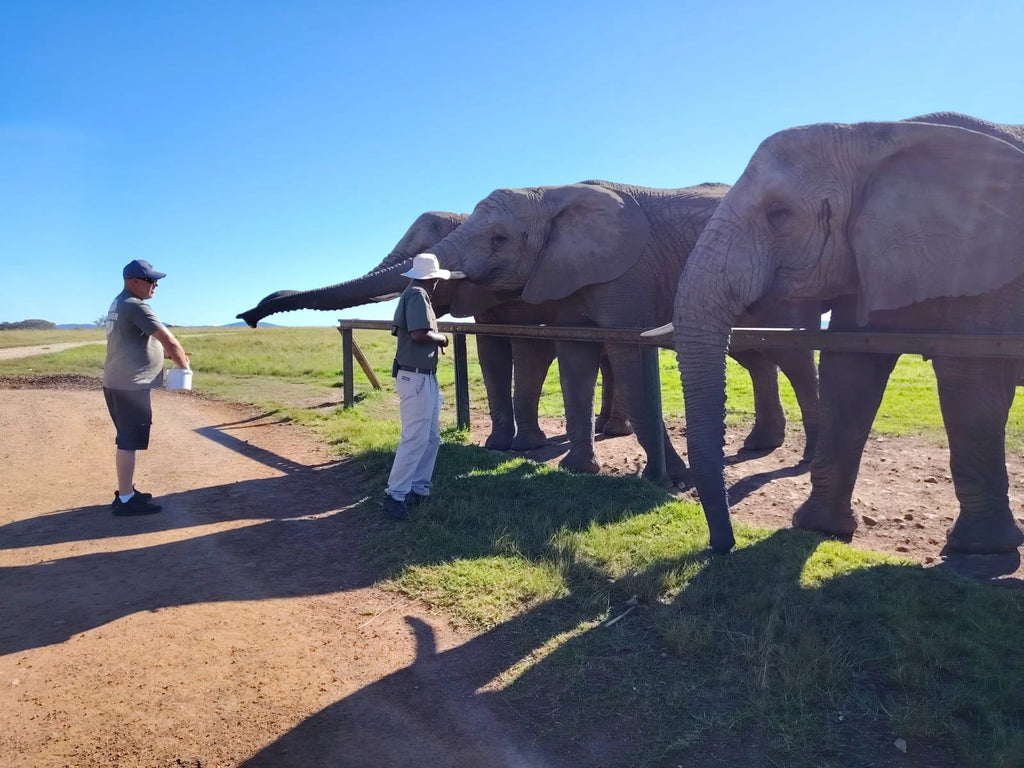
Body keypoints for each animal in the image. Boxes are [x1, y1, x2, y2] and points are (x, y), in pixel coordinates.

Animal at [236, 211, 633, 451]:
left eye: (426, 253)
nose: (248, 317)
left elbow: (531, 348)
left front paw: (527, 446)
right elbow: (490, 351)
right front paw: (499, 444)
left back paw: (614, 430)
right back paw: (608, 427)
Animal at [421, 180, 821, 486]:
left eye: (500, 239)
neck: (552, 196)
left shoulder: (628, 274)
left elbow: (627, 355)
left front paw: (672, 478)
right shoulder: (568, 273)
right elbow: (574, 359)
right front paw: (578, 470)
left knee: (795, 357)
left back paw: (809, 459)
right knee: (755, 355)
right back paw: (761, 444)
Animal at [664, 112, 1024, 556]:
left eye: (779, 213)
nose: (722, 546)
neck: (876, 135)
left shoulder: (988, 264)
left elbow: (972, 380)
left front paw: (978, 549)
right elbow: (849, 370)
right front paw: (819, 528)